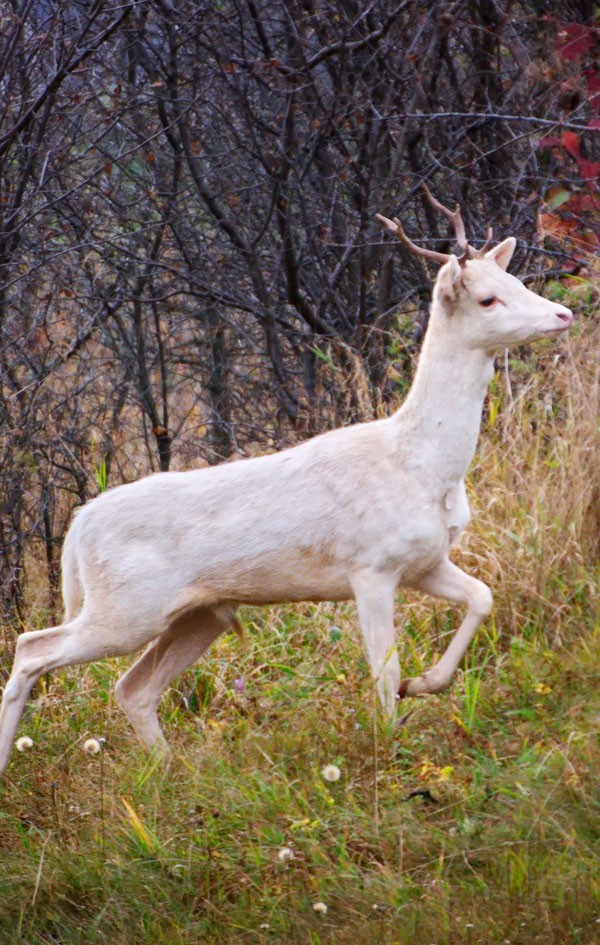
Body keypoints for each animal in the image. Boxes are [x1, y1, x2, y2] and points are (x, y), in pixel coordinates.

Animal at [0, 192, 576, 776]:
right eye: (487, 299)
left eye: (516, 280)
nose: (563, 313)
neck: (420, 465)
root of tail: (78, 527)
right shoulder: (370, 567)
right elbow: (383, 670)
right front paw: (390, 746)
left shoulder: (424, 561)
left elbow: (482, 597)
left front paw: (425, 683)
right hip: (125, 605)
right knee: (33, 647)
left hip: (197, 613)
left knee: (132, 687)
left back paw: (171, 772)